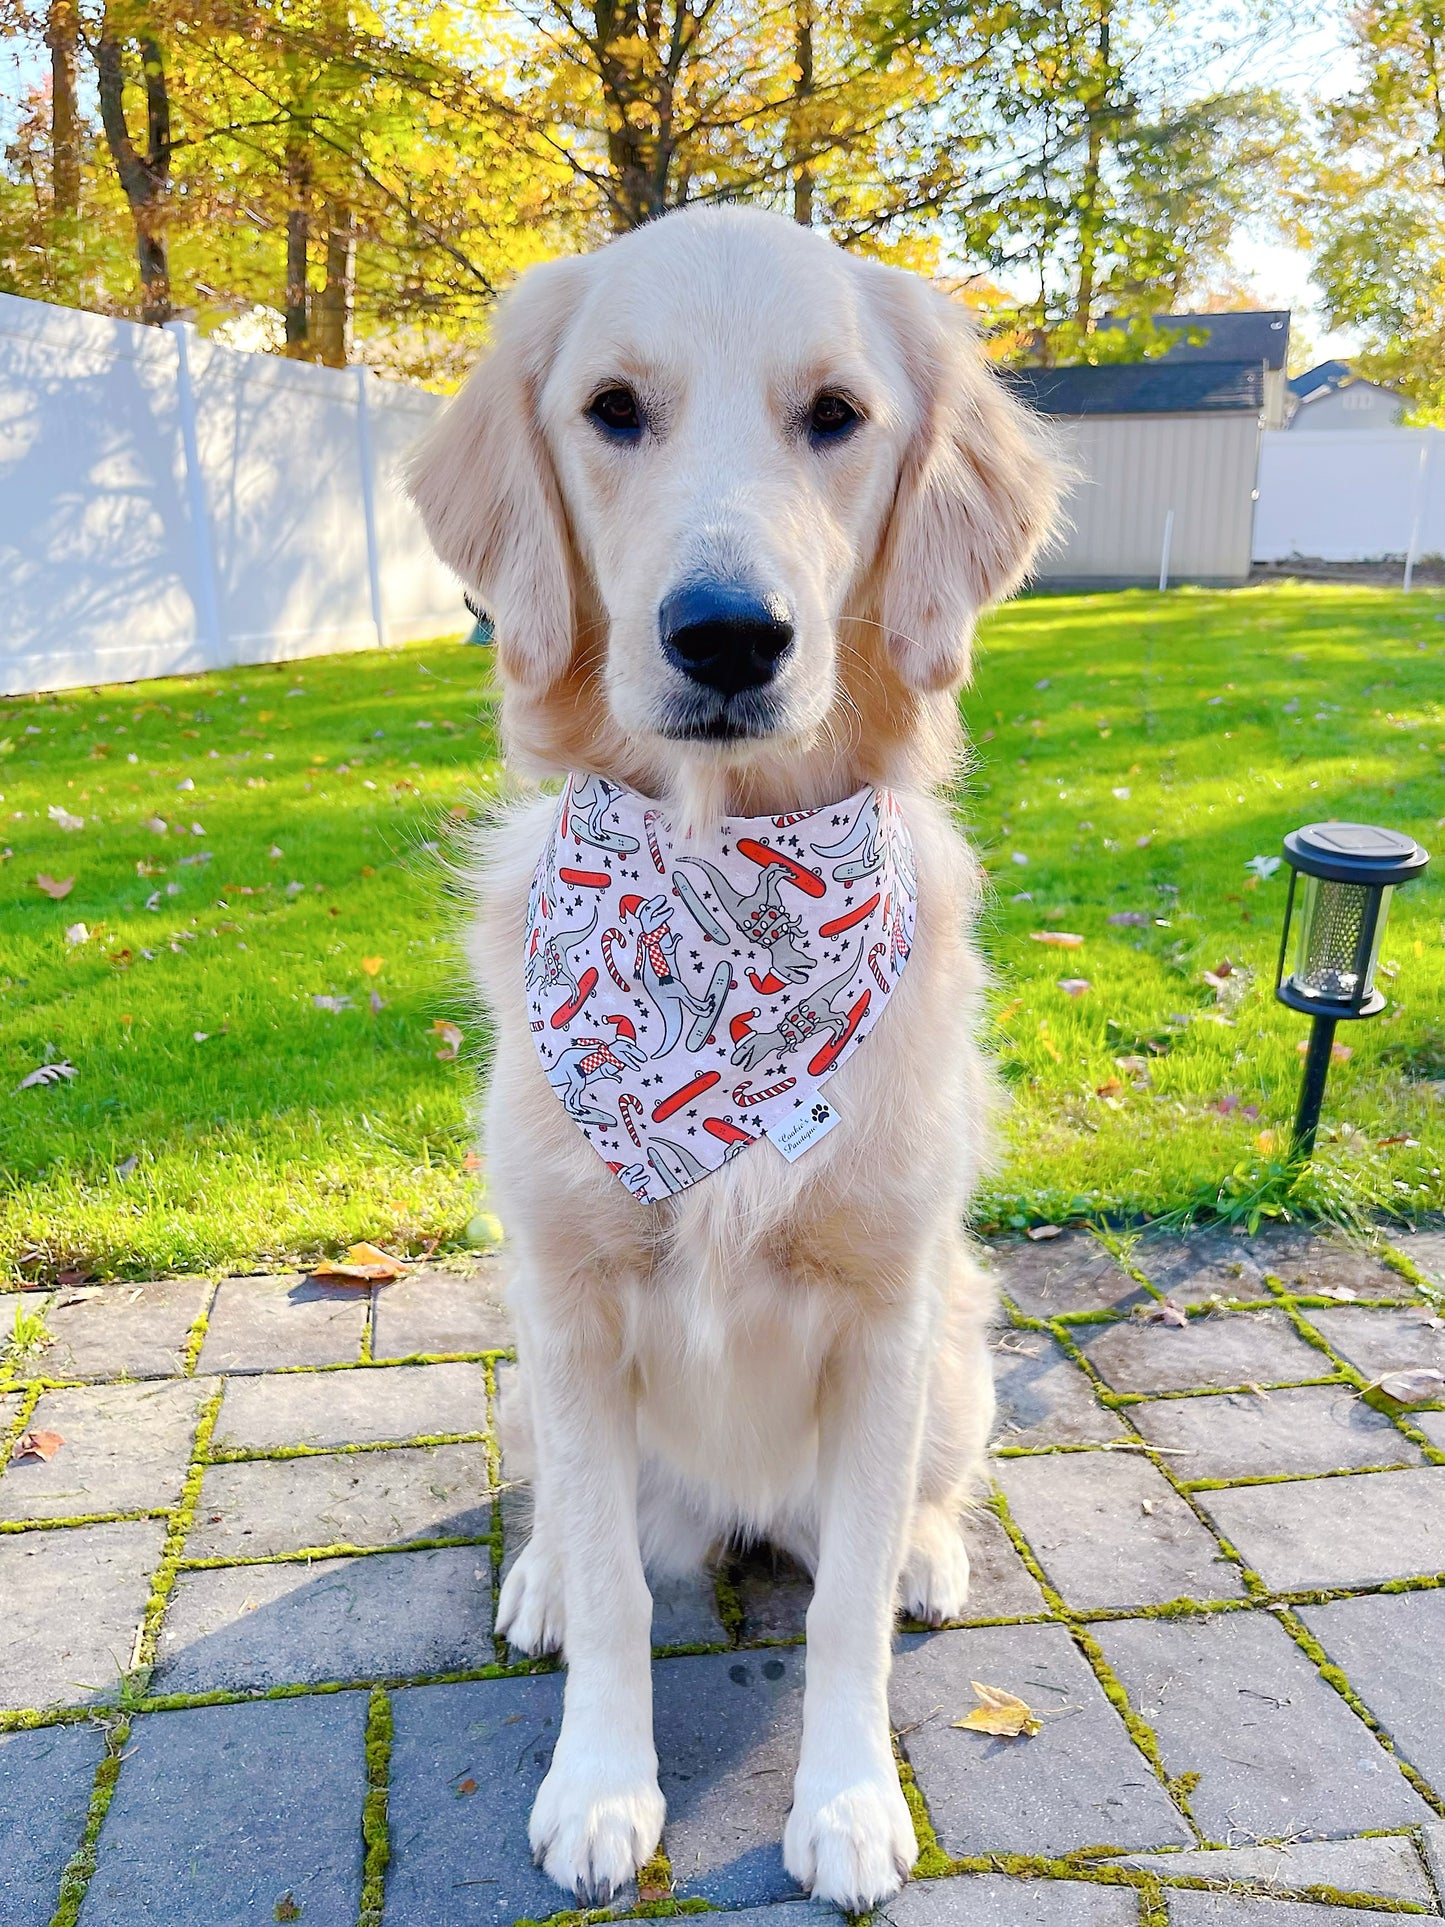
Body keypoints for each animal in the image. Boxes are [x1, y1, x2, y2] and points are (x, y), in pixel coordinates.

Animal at [408, 207, 1063, 1911]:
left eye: (835, 414)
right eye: (613, 410)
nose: (725, 634)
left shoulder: (888, 1307)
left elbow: (840, 1611)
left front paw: (845, 1798)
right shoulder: (569, 1297)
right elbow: (619, 1596)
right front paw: (599, 1779)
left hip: (960, 1350)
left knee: (899, 1515)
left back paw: (924, 1551)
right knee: (582, 1522)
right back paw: (540, 1576)